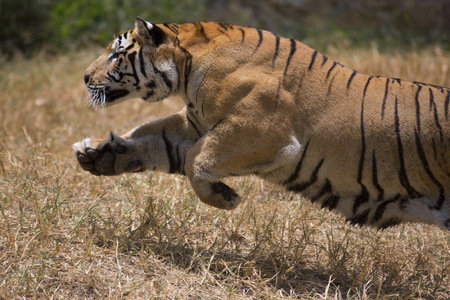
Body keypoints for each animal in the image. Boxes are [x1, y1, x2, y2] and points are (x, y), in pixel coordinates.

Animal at [72, 17, 448, 230]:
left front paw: (225, 198)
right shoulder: (195, 124)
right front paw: (100, 155)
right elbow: (152, 138)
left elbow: (197, 160)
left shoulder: (259, 131)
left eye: (116, 54)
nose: (85, 77)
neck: (186, 69)